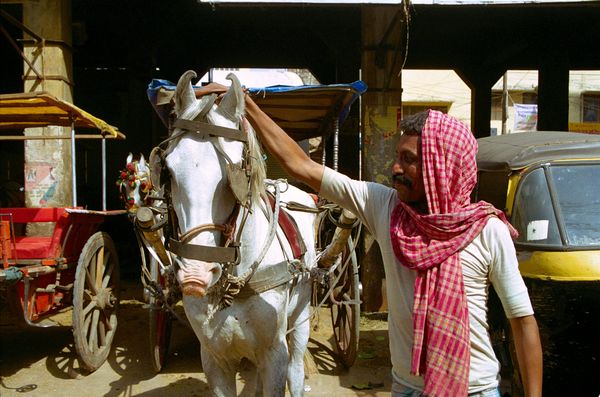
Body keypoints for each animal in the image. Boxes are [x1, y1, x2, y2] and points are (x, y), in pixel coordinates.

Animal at [150, 71, 318, 396]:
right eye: (169, 172)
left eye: (235, 176)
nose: (195, 275)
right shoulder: (214, 358)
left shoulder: (274, 355)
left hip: (300, 319)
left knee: (296, 368)